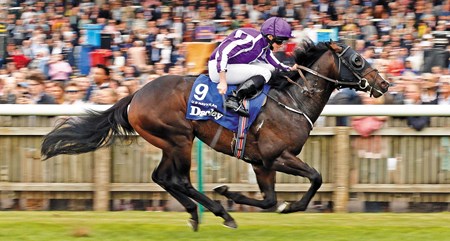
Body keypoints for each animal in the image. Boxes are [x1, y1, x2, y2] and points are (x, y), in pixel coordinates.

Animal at [40, 40, 388, 231]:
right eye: (357, 60)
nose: (383, 84)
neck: (293, 99)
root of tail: (135, 96)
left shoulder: (261, 162)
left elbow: (269, 199)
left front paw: (236, 195)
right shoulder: (278, 156)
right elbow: (315, 177)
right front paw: (284, 206)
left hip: (169, 142)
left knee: (161, 177)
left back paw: (196, 214)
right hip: (180, 138)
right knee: (180, 180)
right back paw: (219, 213)